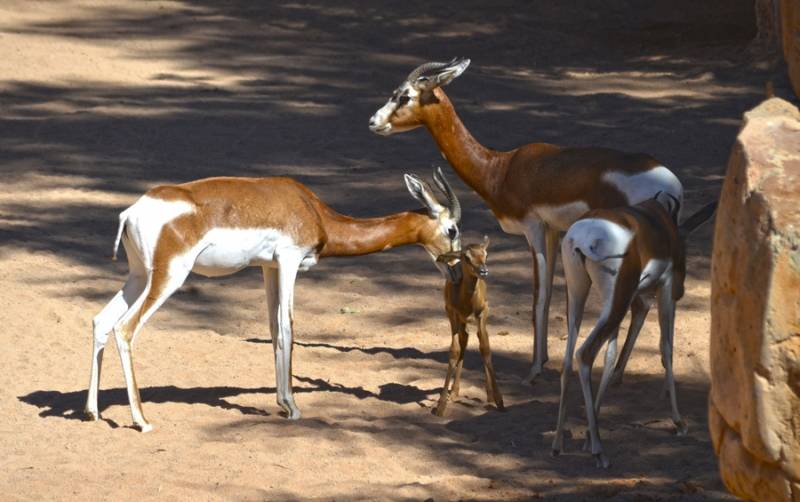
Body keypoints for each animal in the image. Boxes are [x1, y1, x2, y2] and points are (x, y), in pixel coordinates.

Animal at [83, 171, 460, 430]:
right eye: (453, 228)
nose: (459, 271)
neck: (313, 210)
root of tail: (132, 212)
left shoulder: (269, 267)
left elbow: (273, 328)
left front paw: (282, 403)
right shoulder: (290, 260)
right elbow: (288, 325)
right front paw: (293, 407)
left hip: (138, 276)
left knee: (101, 320)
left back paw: (91, 412)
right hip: (169, 277)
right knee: (125, 328)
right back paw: (142, 420)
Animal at [434, 237, 504, 418]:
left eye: (486, 254)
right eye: (466, 257)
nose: (483, 271)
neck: (467, 304)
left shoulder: (483, 312)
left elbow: (485, 348)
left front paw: (499, 401)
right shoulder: (451, 312)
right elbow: (454, 350)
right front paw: (441, 406)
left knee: (478, 340)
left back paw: (488, 395)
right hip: (460, 321)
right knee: (464, 340)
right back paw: (454, 392)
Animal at [552, 194, 720, 468]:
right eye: (684, 246)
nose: (683, 291)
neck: (661, 224)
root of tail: (582, 238)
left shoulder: (635, 298)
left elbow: (611, 357)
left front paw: (588, 434)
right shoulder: (665, 286)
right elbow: (666, 347)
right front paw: (679, 422)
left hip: (581, 295)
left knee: (568, 360)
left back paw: (558, 444)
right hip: (616, 301)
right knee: (585, 354)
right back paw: (600, 452)